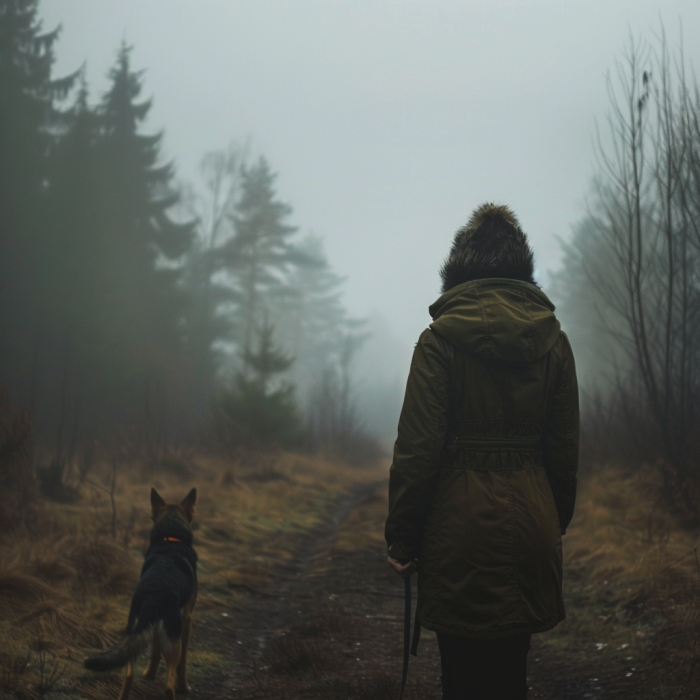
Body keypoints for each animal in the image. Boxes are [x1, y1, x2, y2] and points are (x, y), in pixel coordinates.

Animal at [87, 490, 200, 700]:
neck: (170, 539)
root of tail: (154, 592)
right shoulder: (187, 619)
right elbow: (183, 663)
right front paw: (184, 686)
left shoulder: (153, 628)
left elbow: (154, 651)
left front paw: (149, 674)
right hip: (173, 643)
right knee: (168, 685)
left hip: (134, 634)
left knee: (128, 675)